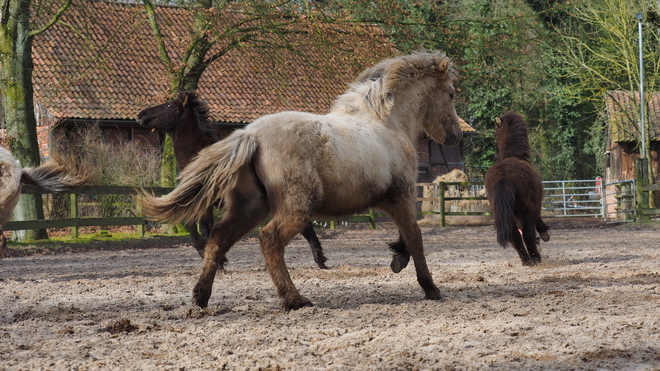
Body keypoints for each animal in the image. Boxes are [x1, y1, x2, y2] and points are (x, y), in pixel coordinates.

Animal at [137, 91, 330, 268]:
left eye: (169, 105)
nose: (140, 115)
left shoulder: (204, 203)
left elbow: (200, 227)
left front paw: (217, 259)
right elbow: (200, 227)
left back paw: (319, 260)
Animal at [484, 112, 552, 266]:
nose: (495, 155)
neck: (513, 155)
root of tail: (504, 179)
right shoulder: (533, 208)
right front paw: (544, 233)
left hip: (506, 213)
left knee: (514, 235)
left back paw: (526, 261)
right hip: (527, 210)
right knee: (528, 234)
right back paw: (535, 259)